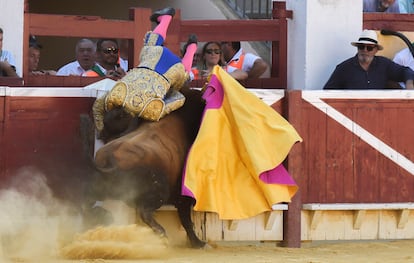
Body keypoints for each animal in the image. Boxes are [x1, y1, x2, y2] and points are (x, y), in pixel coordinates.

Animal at [84, 87, 207, 250]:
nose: (103, 133)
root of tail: (111, 163)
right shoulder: (183, 195)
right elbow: (186, 219)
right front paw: (198, 243)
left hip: (97, 188)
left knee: (85, 205)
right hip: (159, 192)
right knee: (144, 211)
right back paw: (161, 234)